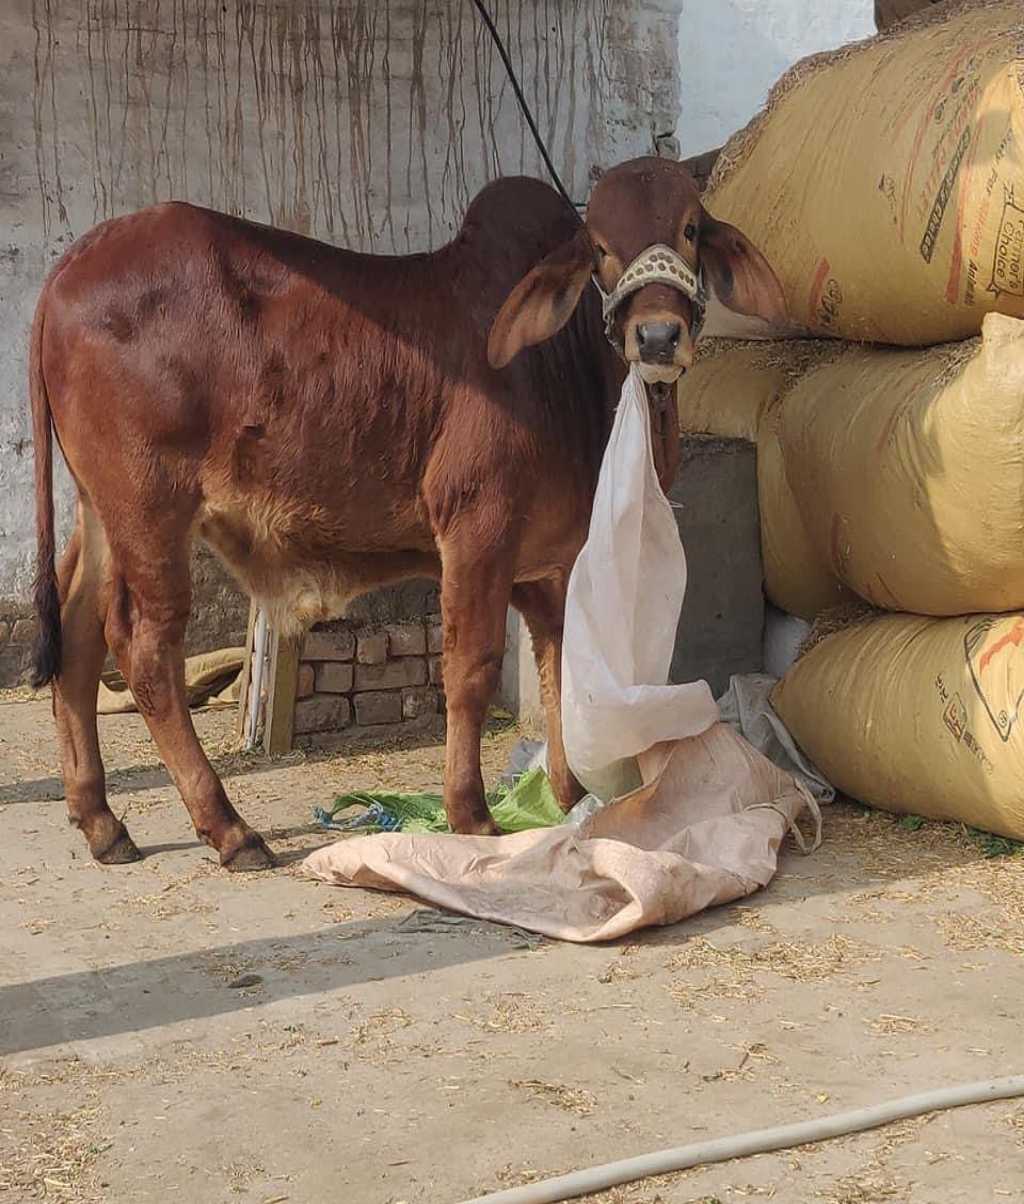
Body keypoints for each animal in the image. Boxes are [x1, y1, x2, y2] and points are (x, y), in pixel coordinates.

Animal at [31, 157, 780, 866]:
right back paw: (229, 829)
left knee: (77, 627)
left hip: (100, 510)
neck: (565, 367)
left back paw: (101, 821)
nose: (657, 337)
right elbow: (470, 669)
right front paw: (470, 811)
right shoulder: (479, 531)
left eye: (690, 227)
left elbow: (560, 670)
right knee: (146, 652)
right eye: (599, 246)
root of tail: (71, 265)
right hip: (149, 509)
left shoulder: (556, 563)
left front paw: (568, 799)